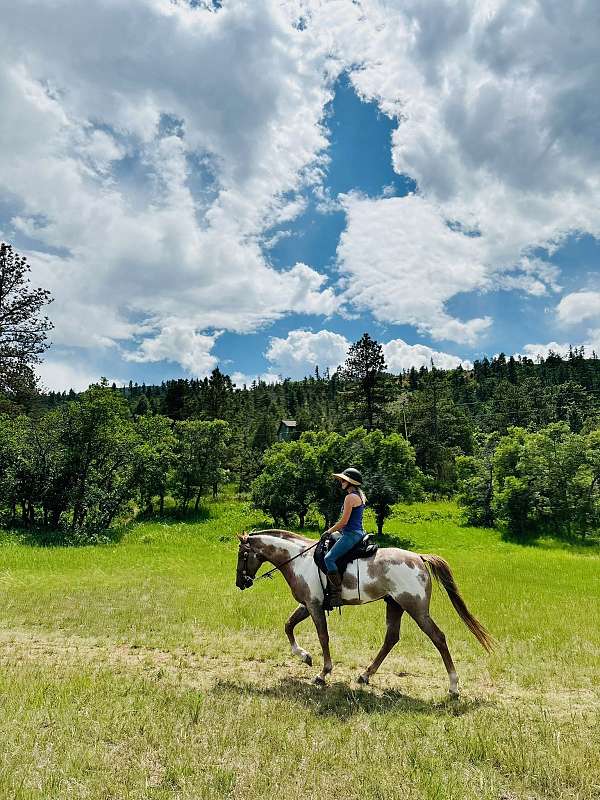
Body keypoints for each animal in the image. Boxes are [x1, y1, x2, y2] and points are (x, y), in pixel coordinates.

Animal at [237, 528, 494, 692]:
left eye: (242, 554)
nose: (240, 583)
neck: (299, 559)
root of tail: (420, 559)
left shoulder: (314, 605)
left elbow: (323, 636)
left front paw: (322, 673)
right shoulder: (307, 605)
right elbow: (288, 625)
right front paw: (304, 656)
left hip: (416, 609)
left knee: (438, 638)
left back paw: (454, 686)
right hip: (395, 605)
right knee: (391, 638)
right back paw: (365, 675)